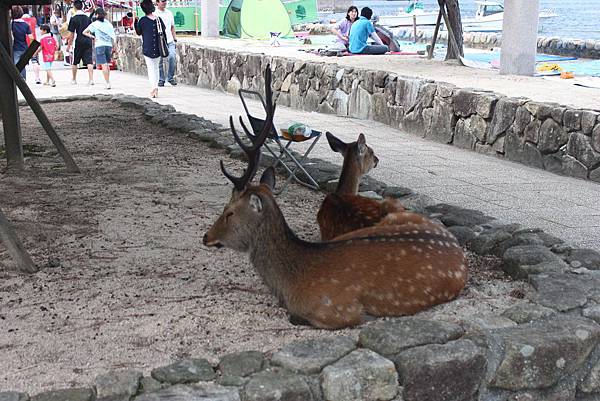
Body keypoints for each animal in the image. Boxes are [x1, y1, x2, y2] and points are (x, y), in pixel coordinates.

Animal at [203, 65, 468, 328]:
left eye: (229, 212)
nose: (206, 237)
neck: (291, 284)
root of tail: (456, 245)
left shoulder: (340, 311)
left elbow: (298, 317)